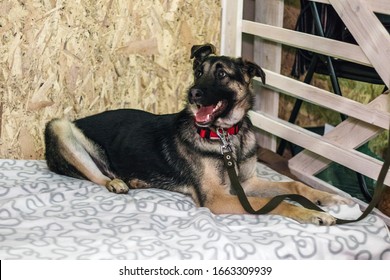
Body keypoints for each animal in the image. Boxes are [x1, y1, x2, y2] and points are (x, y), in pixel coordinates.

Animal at [44, 44, 348, 228]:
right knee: (97, 175)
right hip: (58, 126)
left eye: (222, 74)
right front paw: (313, 213)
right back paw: (116, 182)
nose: (192, 93)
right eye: (198, 72)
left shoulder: (246, 184)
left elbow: (292, 185)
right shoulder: (218, 198)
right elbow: (276, 203)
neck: (227, 136)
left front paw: (328, 198)